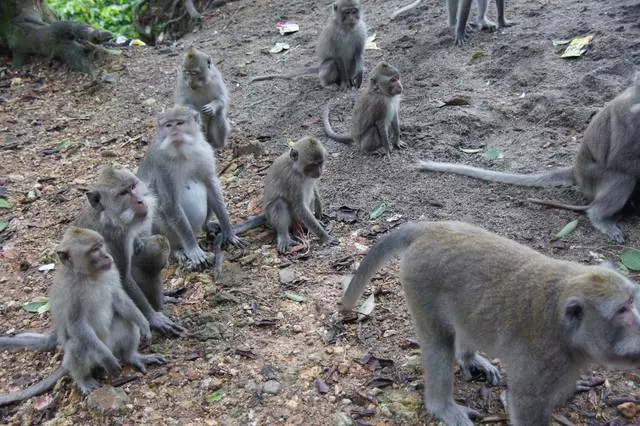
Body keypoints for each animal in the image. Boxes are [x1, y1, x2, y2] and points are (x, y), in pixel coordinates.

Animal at [0, 226, 165, 406]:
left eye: (101, 245)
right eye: (94, 250)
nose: (107, 256)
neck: (89, 275)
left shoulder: (111, 271)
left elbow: (119, 299)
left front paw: (144, 324)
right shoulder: (72, 293)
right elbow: (76, 325)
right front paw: (107, 359)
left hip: (114, 342)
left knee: (126, 321)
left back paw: (132, 356)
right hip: (91, 354)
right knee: (78, 343)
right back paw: (83, 378)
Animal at [76, 166, 185, 336]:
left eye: (133, 187)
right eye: (123, 193)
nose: (140, 201)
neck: (108, 217)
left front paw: (137, 242)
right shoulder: (116, 240)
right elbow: (123, 280)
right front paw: (153, 318)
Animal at [136, 103, 244, 270]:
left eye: (179, 123)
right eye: (168, 125)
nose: (174, 133)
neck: (182, 152)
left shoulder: (205, 152)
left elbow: (211, 186)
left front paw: (228, 231)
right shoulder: (162, 166)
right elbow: (169, 205)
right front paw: (193, 249)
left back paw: (207, 226)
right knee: (155, 207)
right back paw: (178, 249)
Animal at [342, 221, 640, 424]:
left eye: (631, 301)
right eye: (622, 309)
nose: (638, 324)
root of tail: (429, 228)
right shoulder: (543, 361)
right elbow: (525, 406)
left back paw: (469, 357)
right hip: (420, 282)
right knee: (439, 342)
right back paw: (441, 406)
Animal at [418, 71, 640, 241]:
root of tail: (576, 170)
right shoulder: (628, 118)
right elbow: (618, 159)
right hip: (594, 176)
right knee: (623, 177)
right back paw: (599, 217)